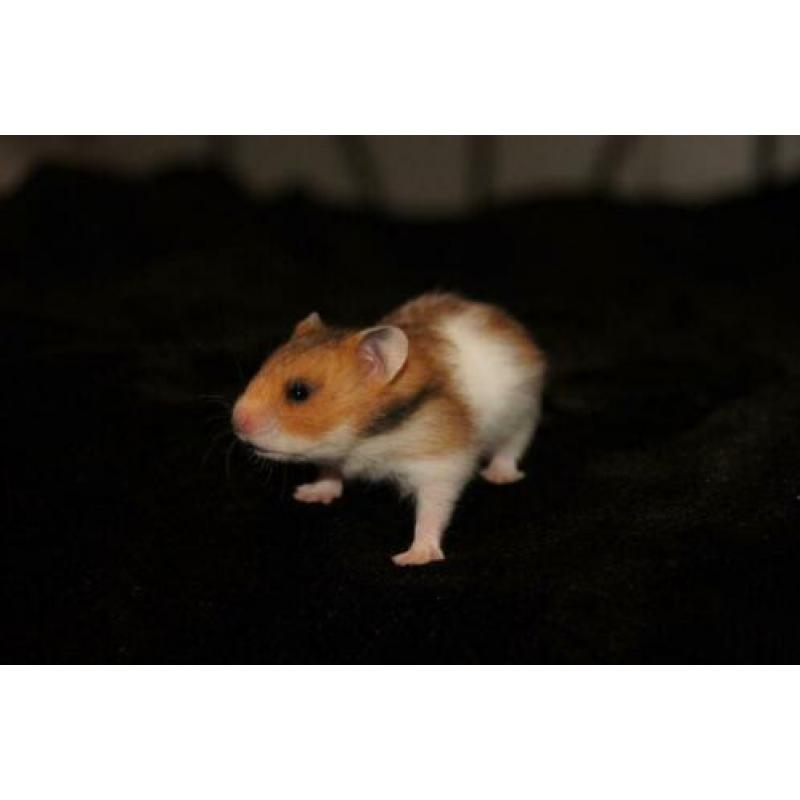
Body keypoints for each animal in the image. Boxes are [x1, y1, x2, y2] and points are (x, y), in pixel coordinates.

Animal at [232, 293, 546, 566]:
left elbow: (432, 509)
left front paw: (412, 557)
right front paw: (308, 495)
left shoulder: (442, 461)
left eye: (299, 392)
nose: (236, 423)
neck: (365, 439)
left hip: (522, 412)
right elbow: (329, 471)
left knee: (512, 445)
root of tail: (507, 322)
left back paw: (499, 475)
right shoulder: (337, 454)